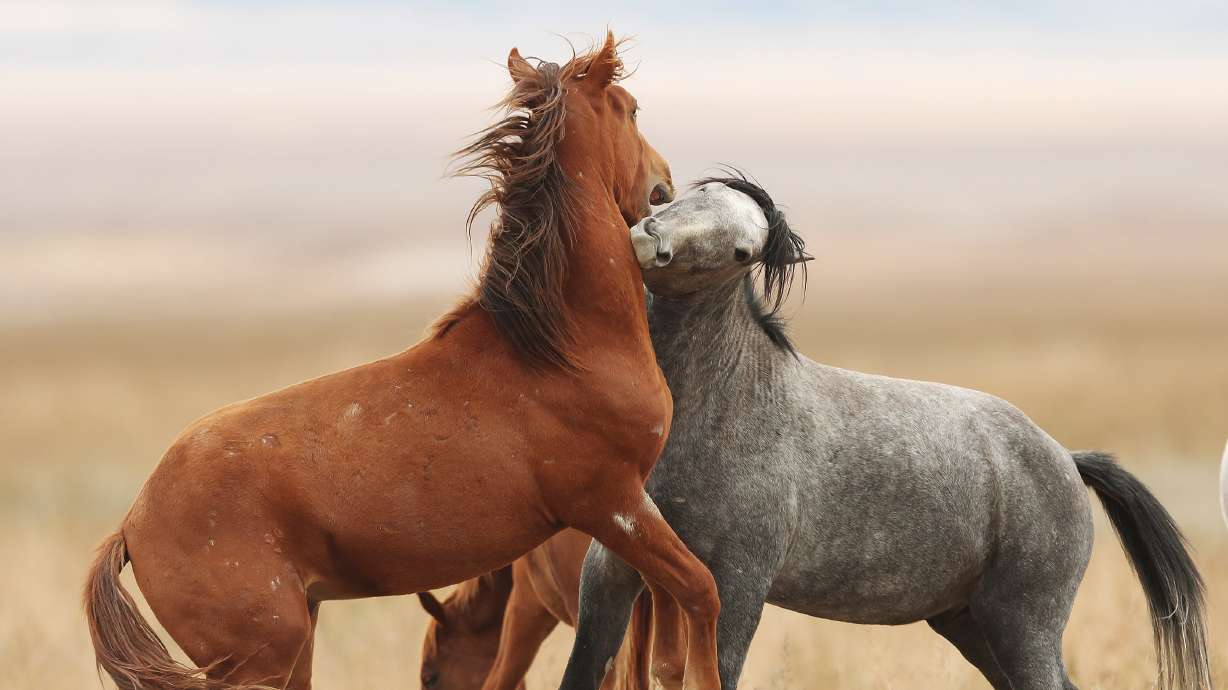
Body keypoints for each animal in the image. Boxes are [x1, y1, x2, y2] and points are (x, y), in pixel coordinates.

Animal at [560, 173, 1211, 690]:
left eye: (743, 249)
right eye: (695, 195)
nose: (651, 240)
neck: (723, 409)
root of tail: (1067, 459)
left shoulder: (733, 586)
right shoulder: (613, 568)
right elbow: (584, 667)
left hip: (1022, 624)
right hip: (971, 624)